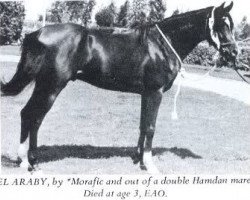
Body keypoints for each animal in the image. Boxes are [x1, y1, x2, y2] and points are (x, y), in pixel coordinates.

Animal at [0, 1, 237, 173]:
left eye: (231, 24)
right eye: (221, 24)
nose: (234, 52)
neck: (161, 45)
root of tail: (36, 33)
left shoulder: (146, 94)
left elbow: (142, 126)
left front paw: (138, 158)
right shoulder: (155, 92)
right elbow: (151, 127)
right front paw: (150, 165)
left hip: (42, 85)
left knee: (26, 114)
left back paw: (23, 160)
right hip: (51, 86)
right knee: (35, 117)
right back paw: (32, 162)